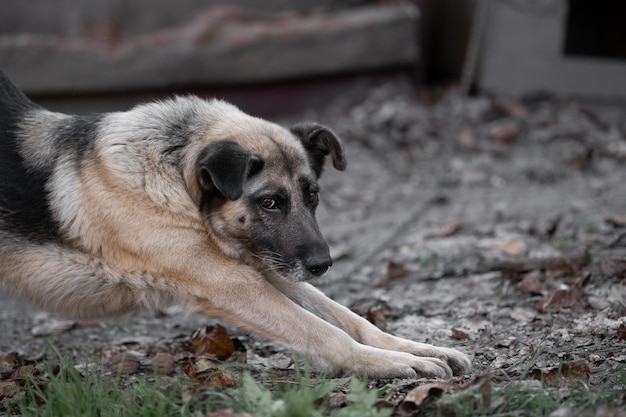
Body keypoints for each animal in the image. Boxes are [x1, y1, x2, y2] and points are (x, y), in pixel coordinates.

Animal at [0, 70, 468, 376]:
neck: (174, 168)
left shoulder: (265, 267)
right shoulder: (230, 282)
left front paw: (414, 348)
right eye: (270, 202)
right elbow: (323, 330)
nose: (323, 265)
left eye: (313, 196)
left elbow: (349, 318)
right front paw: (386, 363)